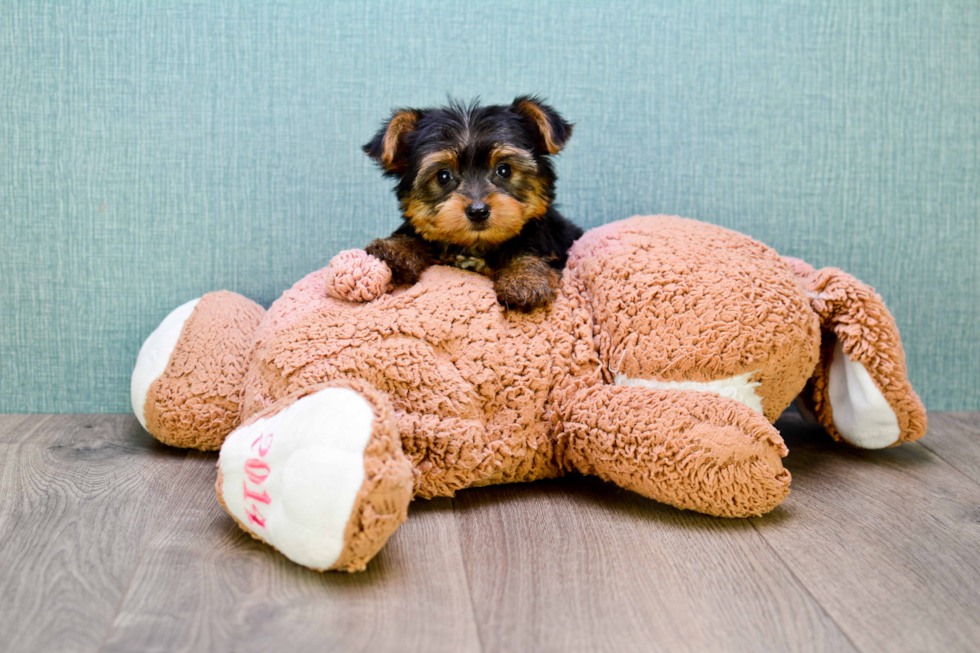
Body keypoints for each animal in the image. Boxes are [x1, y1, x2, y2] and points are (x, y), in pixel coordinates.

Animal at [366, 95, 580, 312]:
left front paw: (524, 279)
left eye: (504, 170)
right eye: (443, 176)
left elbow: (530, 248)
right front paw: (397, 248)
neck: (476, 246)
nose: (478, 211)